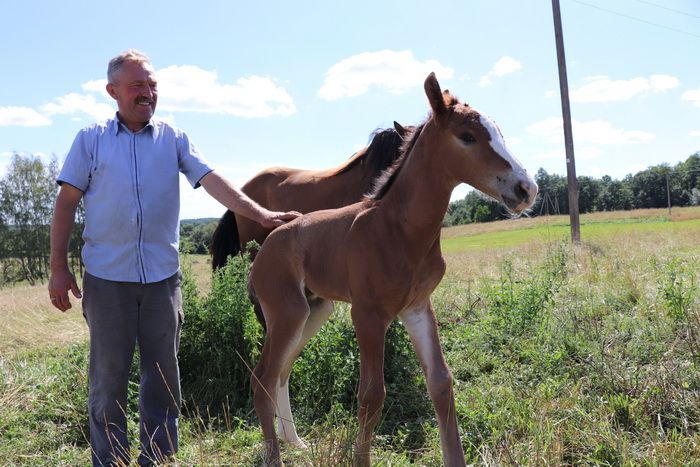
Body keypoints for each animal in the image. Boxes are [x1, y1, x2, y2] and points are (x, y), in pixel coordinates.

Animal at [249, 73, 540, 467]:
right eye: (467, 136)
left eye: (499, 132)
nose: (527, 188)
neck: (399, 229)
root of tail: (263, 251)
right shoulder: (367, 315)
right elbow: (372, 395)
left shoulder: (417, 308)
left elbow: (441, 383)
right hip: (287, 311)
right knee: (263, 376)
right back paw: (276, 453)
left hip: (314, 310)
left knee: (283, 371)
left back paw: (294, 441)